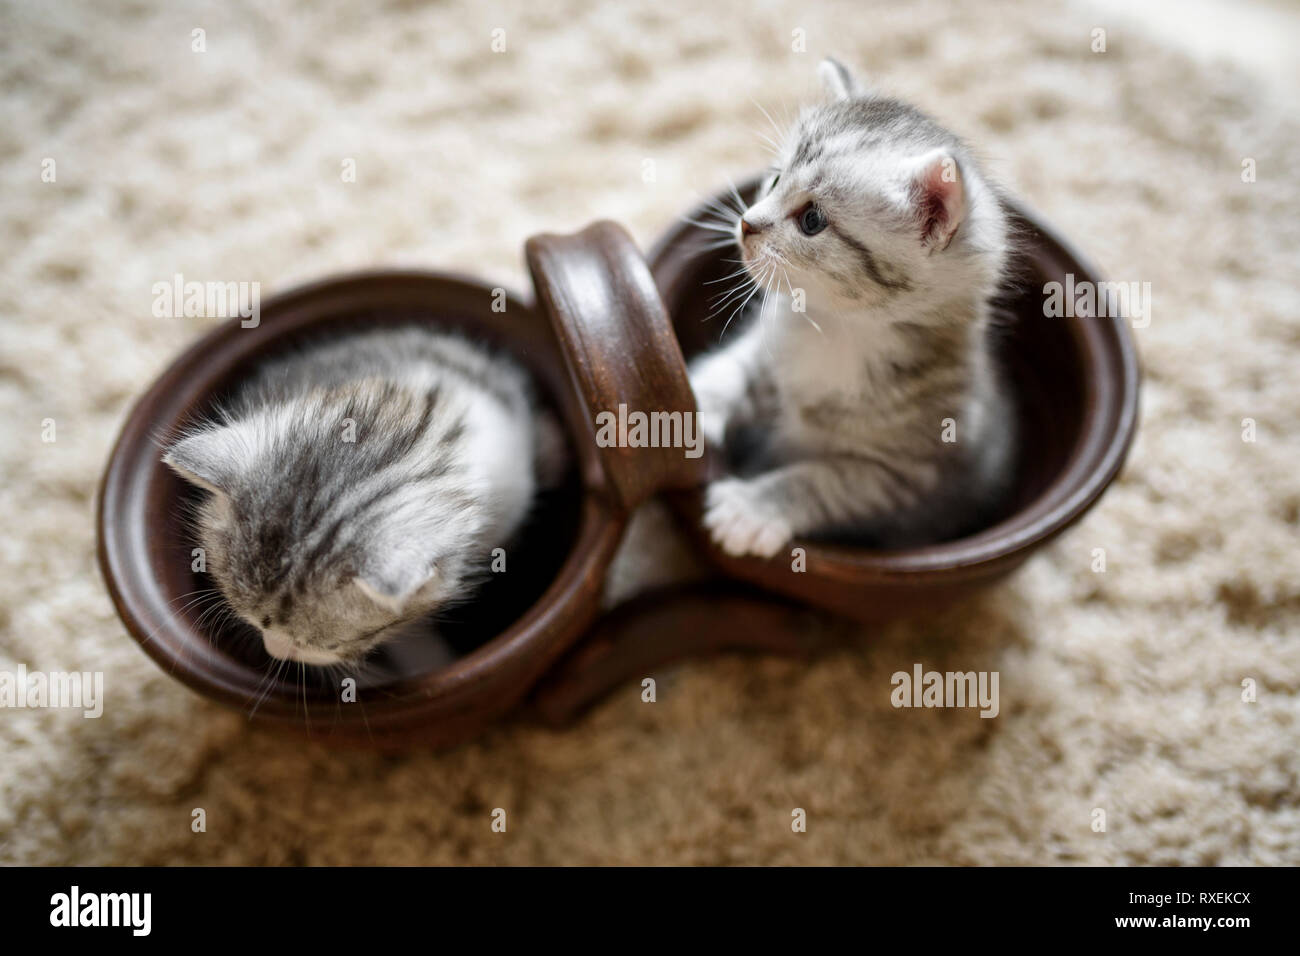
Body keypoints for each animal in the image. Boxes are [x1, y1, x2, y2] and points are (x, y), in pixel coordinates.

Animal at [696, 57, 1019, 554]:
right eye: (774, 179)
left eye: (812, 221)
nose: (747, 224)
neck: (835, 328)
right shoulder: (766, 349)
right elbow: (733, 368)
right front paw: (688, 403)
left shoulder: (902, 476)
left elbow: (820, 482)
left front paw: (752, 508)